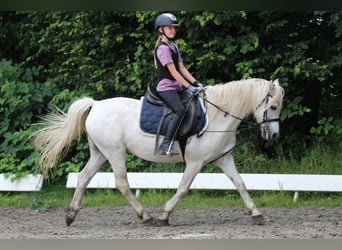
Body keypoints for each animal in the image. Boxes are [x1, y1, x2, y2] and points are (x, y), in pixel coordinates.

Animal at [34, 78, 286, 227]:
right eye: (273, 106)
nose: (274, 135)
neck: (218, 114)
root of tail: (95, 104)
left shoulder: (223, 158)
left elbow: (240, 184)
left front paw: (256, 214)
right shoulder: (195, 162)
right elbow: (183, 188)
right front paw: (164, 215)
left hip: (100, 153)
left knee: (84, 177)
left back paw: (70, 215)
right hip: (114, 152)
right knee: (122, 183)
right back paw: (145, 216)